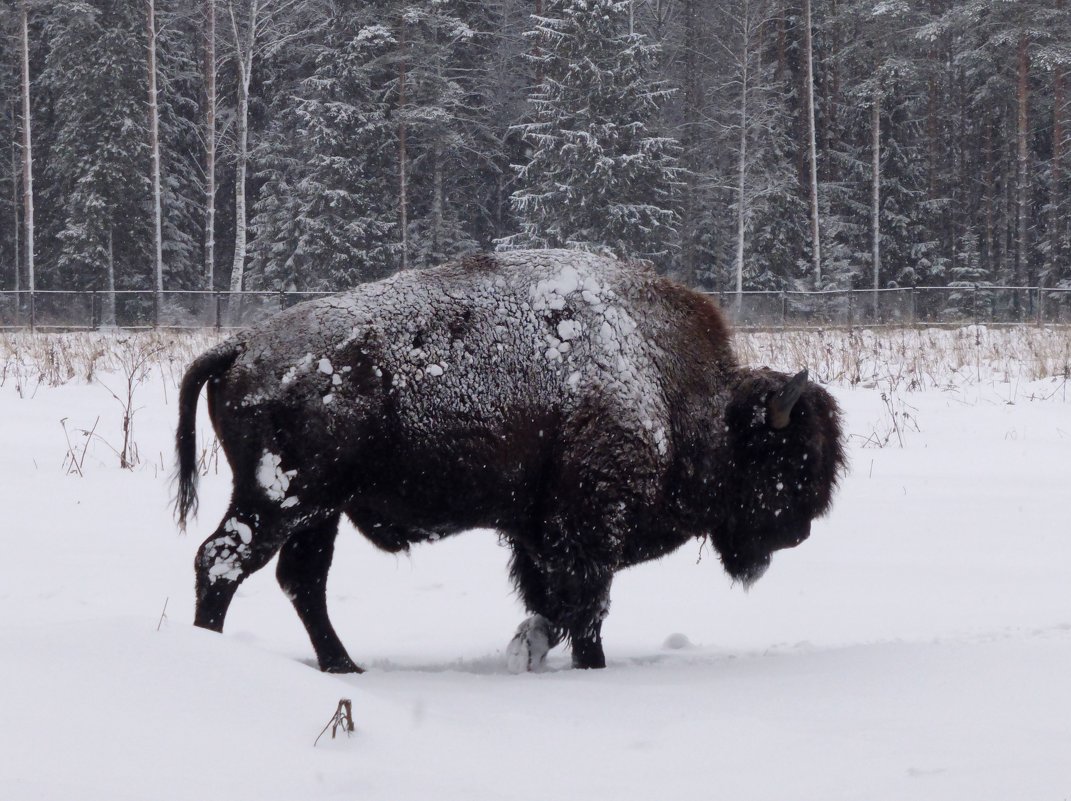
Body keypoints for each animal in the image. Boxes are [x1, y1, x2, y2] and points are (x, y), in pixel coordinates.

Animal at [175, 248, 843, 668]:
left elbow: (552, 606)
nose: (799, 532)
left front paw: (529, 648)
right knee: (222, 561)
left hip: (320, 511)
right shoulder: (586, 529)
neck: (668, 383)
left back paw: (345, 668)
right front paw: (588, 666)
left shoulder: (539, 535)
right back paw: (215, 650)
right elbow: (586, 610)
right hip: (279, 499)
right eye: (789, 460)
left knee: (302, 581)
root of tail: (241, 346)